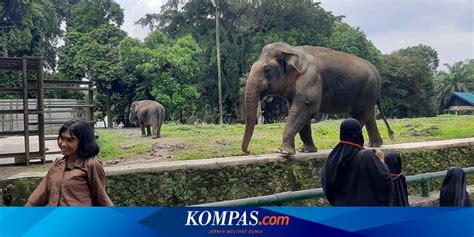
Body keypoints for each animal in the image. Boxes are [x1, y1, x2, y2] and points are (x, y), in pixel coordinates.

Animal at [243, 41, 394, 155]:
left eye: (267, 69)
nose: (249, 151)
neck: (292, 49)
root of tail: (376, 72)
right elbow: (299, 110)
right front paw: (306, 151)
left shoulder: (311, 77)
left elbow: (305, 108)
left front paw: (284, 152)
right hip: (368, 92)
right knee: (369, 115)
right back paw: (374, 145)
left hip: (367, 88)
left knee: (359, 115)